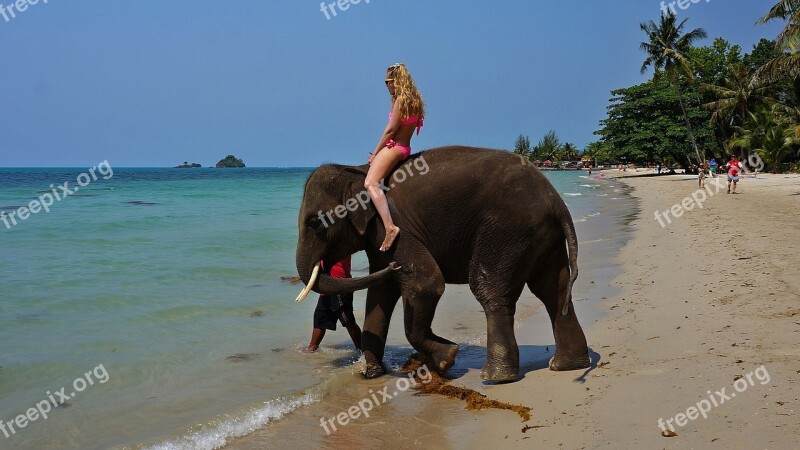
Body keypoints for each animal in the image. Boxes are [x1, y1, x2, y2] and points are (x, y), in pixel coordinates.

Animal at [294, 146, 588, 382]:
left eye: (314, 223)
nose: (394, 267)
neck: (359, 171)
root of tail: (555, 200)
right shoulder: (378, 241)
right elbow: (380, 295)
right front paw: (372, 374)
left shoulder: (395, 228)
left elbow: (426, 284)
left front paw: (448, 359)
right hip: (542, 237)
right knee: (553, 290)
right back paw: (566, 366)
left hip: (508, 231)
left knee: (489, 290)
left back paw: (495, 377)